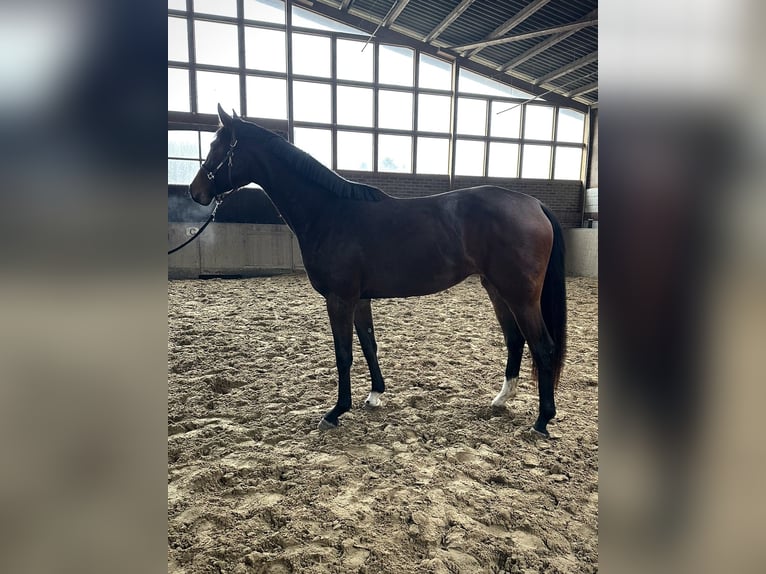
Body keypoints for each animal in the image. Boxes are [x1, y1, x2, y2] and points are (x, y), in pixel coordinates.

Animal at [188, 104, 567, 437]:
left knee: (543, 346)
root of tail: (535, 204)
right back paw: (502, 399)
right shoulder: (359, 299)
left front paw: (336, 412)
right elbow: (369, 344)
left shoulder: (339, 299)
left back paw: (542, 421)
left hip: (520, 296)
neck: (329, 212)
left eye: (217, 146)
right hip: (498, 290)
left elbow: (344, 354)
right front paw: (374, 396)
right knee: (515, 339)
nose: (195, 191)